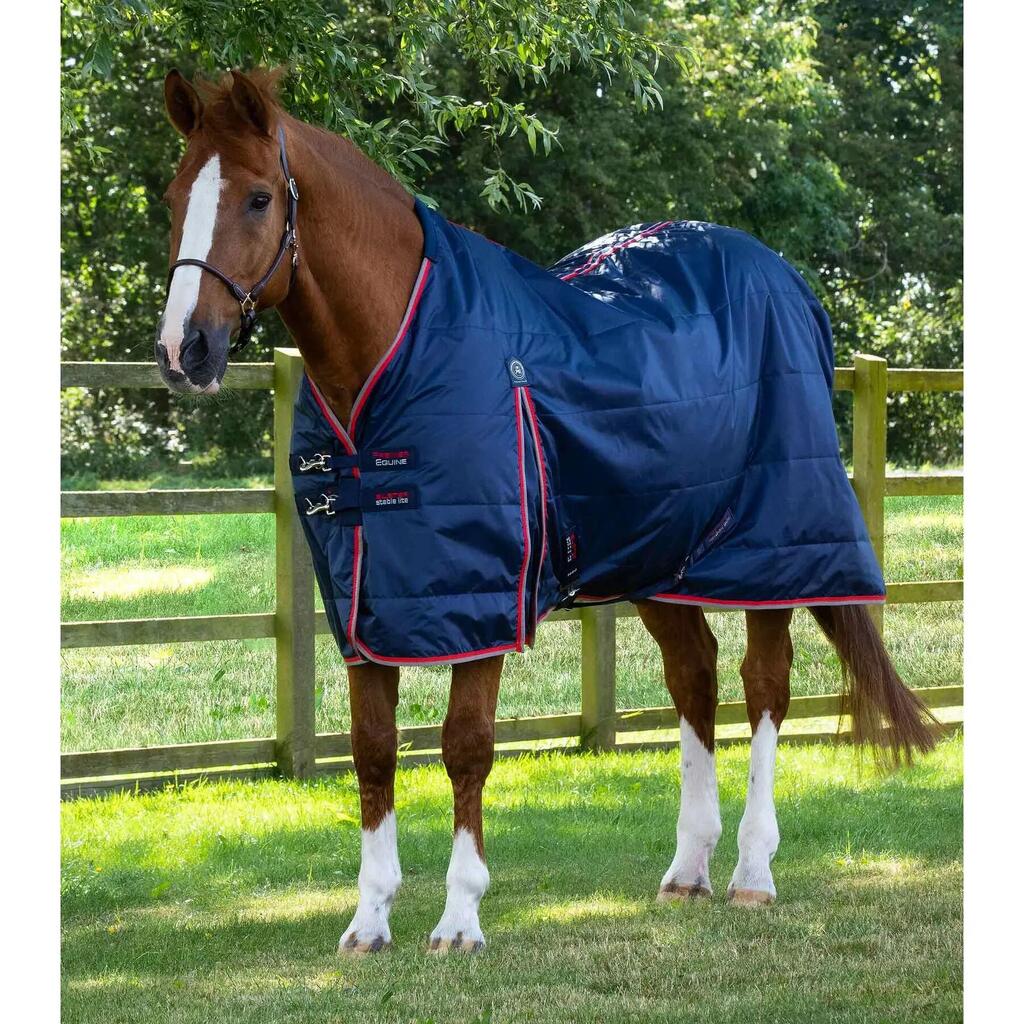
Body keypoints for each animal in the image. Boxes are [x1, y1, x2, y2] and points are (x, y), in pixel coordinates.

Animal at [154, 68, 936, 954]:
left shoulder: (484, 595)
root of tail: (789, 283)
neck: (395, 353)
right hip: (658, 556)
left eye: (258, 198)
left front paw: (460, 918)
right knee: (694, 677)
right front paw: (369, 920)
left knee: (764, 684)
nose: (185, 350)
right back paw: (687, 871)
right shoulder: (366, 603)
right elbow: (372, 750)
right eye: (177, 194)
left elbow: (465, 747)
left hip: (772, 552)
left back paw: (751, 873)